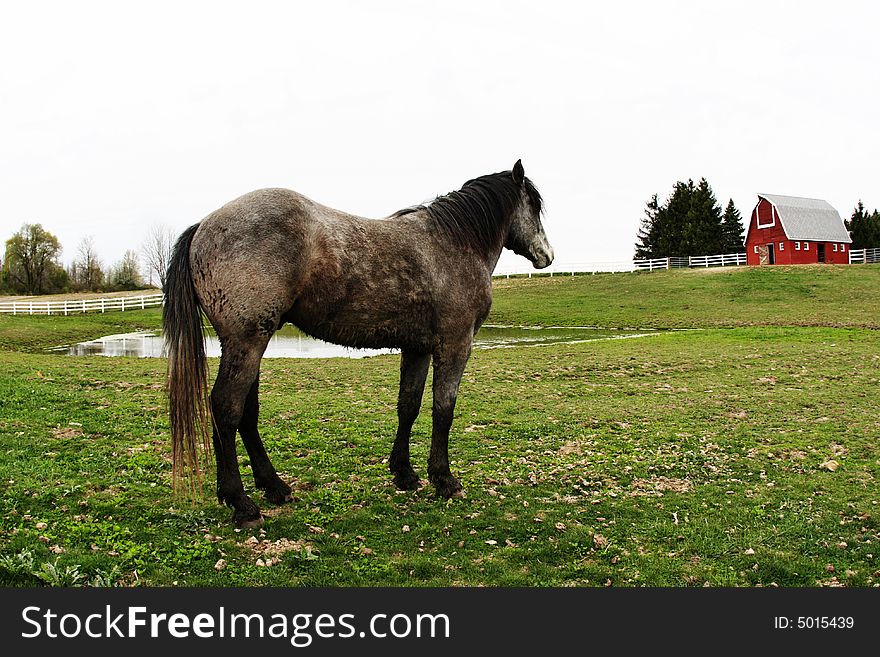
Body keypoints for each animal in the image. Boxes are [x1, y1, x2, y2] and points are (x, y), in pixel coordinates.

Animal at [162, 161, 552, 524]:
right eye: (534, 204)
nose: (547, 255)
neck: (453, 244)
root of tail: (204, 226)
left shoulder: (417, 348)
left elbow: (408, 406)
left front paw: (405, 474)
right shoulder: (454, 345)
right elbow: (444, 410)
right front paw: (443, 479)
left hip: (250, 343)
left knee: (246, 414)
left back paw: (274, 487)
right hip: (247, 342)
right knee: (226, 409)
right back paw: (241, 503)